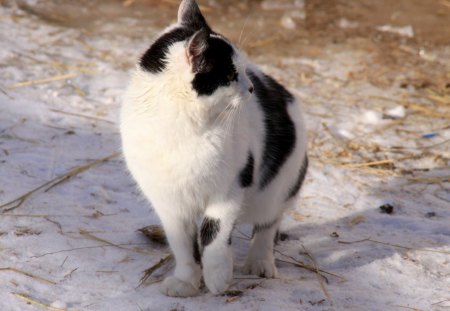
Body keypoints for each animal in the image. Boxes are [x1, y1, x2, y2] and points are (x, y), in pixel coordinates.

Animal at [119, 0, 310, 298]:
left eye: (242, 71)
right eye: (231, 75)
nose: (251, 88)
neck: (182, 124)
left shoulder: (229, 188)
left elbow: (214, 234)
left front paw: (218, 277)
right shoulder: (169, 202)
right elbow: (183, 246)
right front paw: (186, 282)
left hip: (276, 187)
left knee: (268, 224)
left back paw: (260, 262)